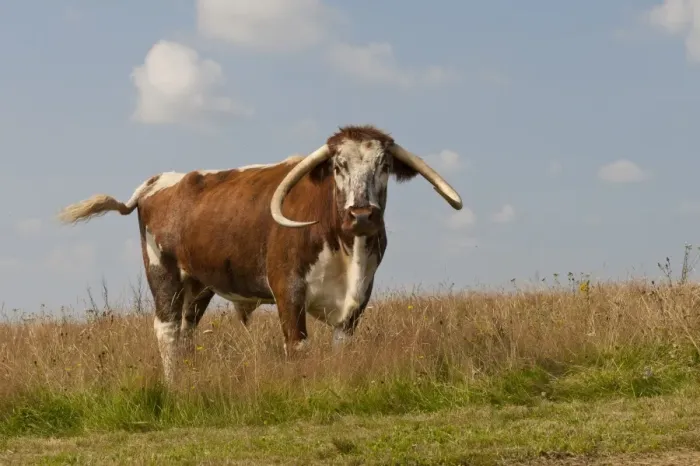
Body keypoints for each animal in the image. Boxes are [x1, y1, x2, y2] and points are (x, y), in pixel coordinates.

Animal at [57, 124, 463, 383]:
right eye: (338, 165)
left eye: (384, 165)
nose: (361, 215)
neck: (349, 253)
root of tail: (159, 180)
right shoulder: (288, 289)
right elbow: (298, 346)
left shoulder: (358, 297)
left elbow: (341, 348)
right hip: (163, 274)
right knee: (168, 331)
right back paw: (174, 388)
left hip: (198, 285)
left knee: (187, 333)